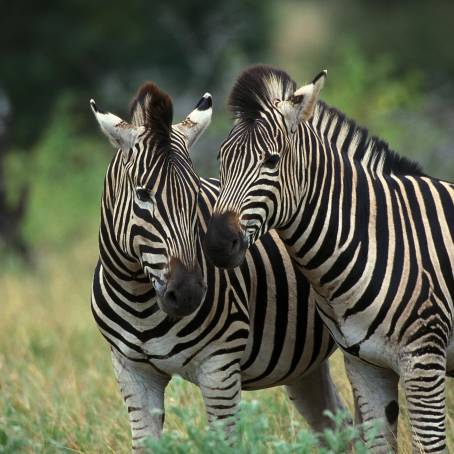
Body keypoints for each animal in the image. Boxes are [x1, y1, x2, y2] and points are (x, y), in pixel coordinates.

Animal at [88, 81, 346, 450]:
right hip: (303, 364)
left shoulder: (219, 367)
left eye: (195, 196)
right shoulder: (132, 372)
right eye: (143, 196)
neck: (139, 297)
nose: (188, 293)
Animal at [206, 64, 454, 454]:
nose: (216, 243)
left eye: (271, 160)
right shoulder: (365, 363)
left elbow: (429, 445)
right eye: (221, 160)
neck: (374, 237)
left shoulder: (424, 359)